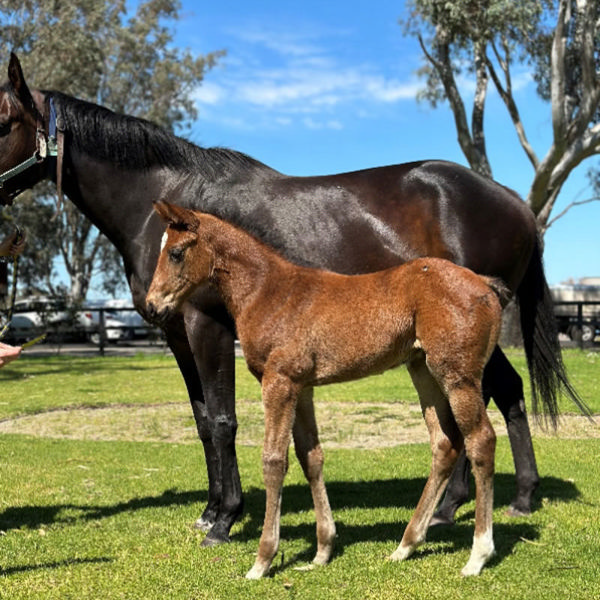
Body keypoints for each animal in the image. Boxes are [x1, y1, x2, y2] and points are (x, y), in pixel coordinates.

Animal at [148, 200, 504, 576]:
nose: (153, 306)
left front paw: (263, 560)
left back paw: (478, 555)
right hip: (422, 370)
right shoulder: (302, 387)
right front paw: (322, 551)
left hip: (458, 376)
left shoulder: (279, 382)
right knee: (445, 443)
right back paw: (405, 546)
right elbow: (311, 457)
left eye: (175, 253)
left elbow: (273, 461)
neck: (268, 292)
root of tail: (484, 284)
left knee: (481, 440)